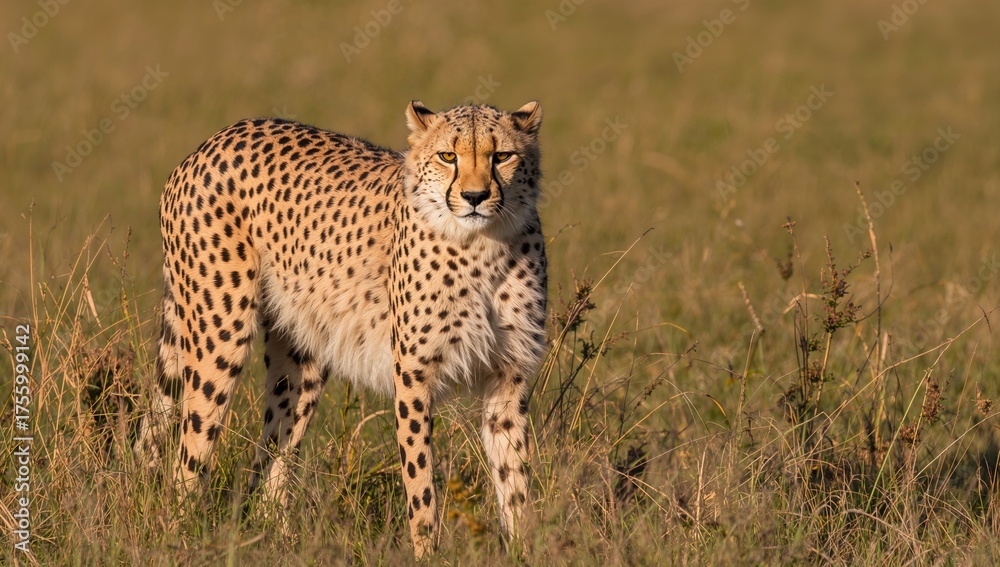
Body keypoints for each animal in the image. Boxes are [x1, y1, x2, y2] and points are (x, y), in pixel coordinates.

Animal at [134, 100, 548, 556]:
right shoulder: (414, 377)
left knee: (274, 452)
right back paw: (180, 536)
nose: (475, 197)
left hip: (303, 357)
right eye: (448, 156)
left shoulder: (509, 378)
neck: (483, 245)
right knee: (189, 454)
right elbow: (421, 484)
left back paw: (279, 539)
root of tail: (219, 137)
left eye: (502, 156)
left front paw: (526, 549)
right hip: (220, 335)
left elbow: (515, 480)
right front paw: (428, 552)